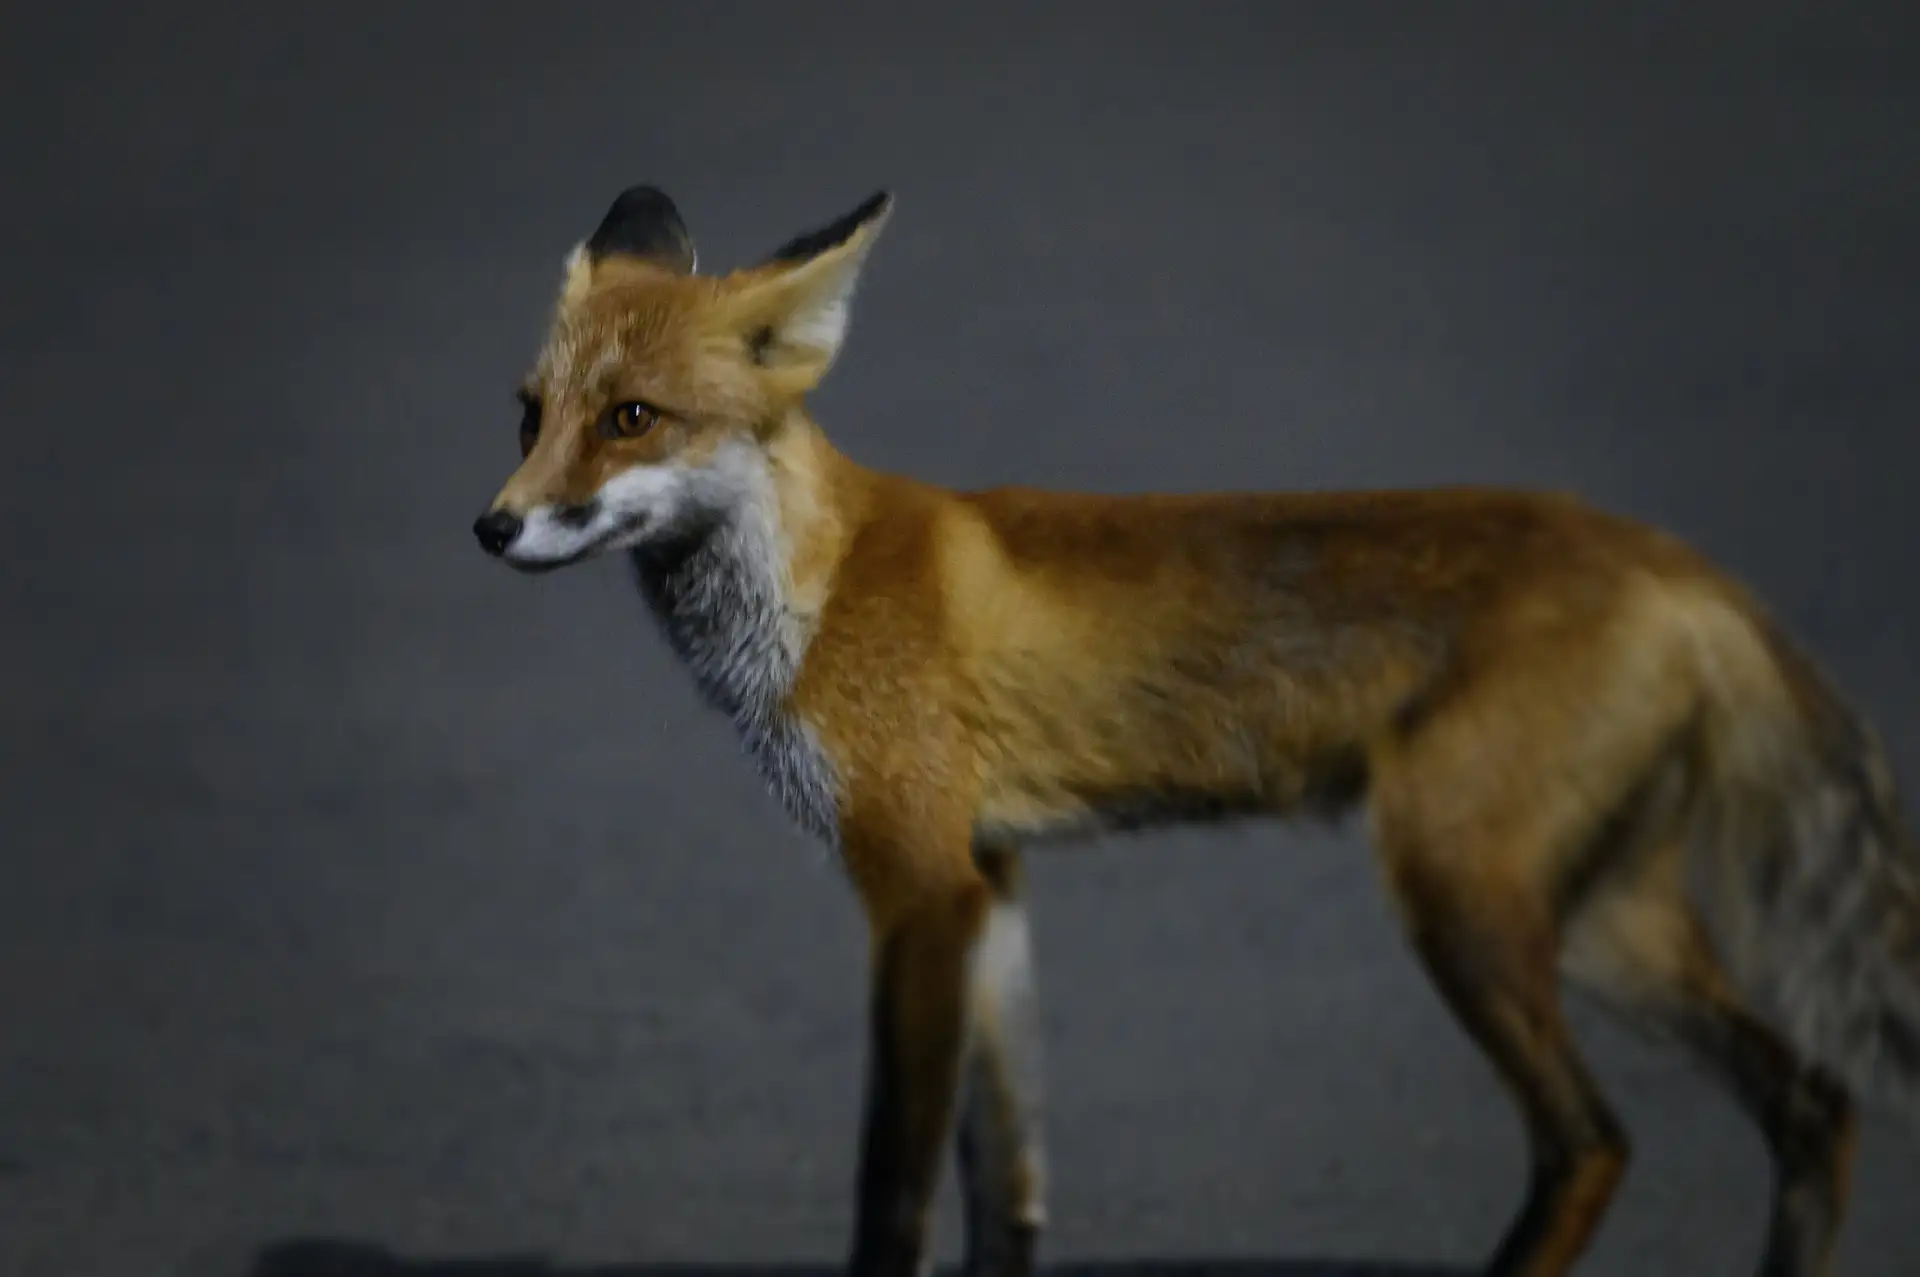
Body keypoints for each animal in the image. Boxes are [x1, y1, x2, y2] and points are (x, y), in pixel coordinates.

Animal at [470, 185, 1920, 1277]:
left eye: (632, 419)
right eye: (530, 414)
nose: (491, 525)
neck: (816, 590)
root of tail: (1674, 558)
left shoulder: (918, 887)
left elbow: (894, 1193)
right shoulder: (991, 878)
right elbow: (1008, 1181)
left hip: (1462, 894)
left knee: (1595, 1142)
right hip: (1604, 925)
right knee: (1813, 1103)